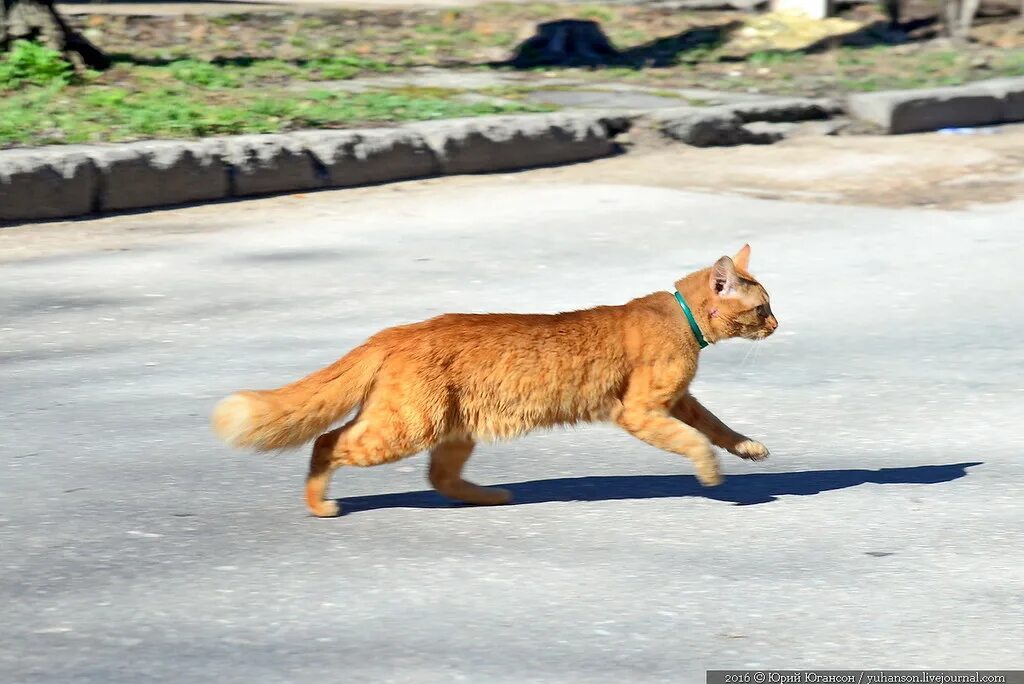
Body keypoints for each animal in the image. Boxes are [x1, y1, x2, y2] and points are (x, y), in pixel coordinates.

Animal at [214, 242, 774, 516]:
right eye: (762, 307)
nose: (776, 325)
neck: (678, 317)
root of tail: (394, 331)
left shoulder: (678, 400)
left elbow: (716, 425)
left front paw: (748, 448)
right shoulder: (640, 409)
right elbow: (694, 441)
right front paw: (711, 476)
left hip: (453, 429)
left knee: (438, 477)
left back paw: (491, 498)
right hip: (404, 428)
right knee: (327, 442)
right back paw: (320, 505)